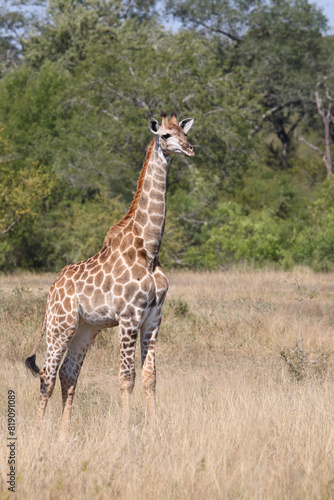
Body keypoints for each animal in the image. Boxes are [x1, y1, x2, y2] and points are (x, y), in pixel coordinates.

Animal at [25, 110, 196, 434]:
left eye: (185, 132)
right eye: (165, 135)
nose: (190, 149)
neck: (149, 249)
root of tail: (52, 290)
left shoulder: (154, 317)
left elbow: (150, 376)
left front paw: (152, 428)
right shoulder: (129, 317)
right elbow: (126, 378)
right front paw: (125, 429)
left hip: (84, 328)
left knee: (68, 374)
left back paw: (64, 435)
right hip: (59, 325)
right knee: (47, 375)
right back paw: (39, 433)